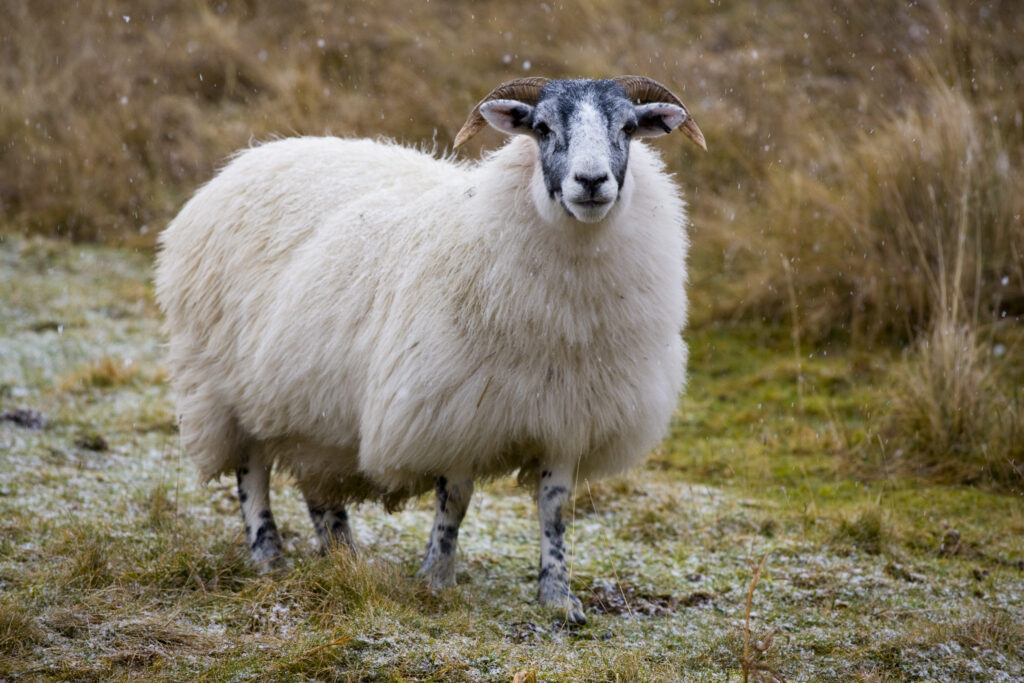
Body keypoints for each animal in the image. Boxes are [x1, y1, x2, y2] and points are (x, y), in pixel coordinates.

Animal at [155, 76, 705, 624]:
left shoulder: (567, 419)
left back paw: (343, 558)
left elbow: (554, 510)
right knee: (252, 474)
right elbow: (454, 502)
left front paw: (558, 596)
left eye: (628, 128)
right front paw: (437, 579)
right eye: (543, 127)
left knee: (319, 485)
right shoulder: (452, 411)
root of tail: (251, 156)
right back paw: (270, 557)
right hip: (220, 384)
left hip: (313, 404)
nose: (591, 182)